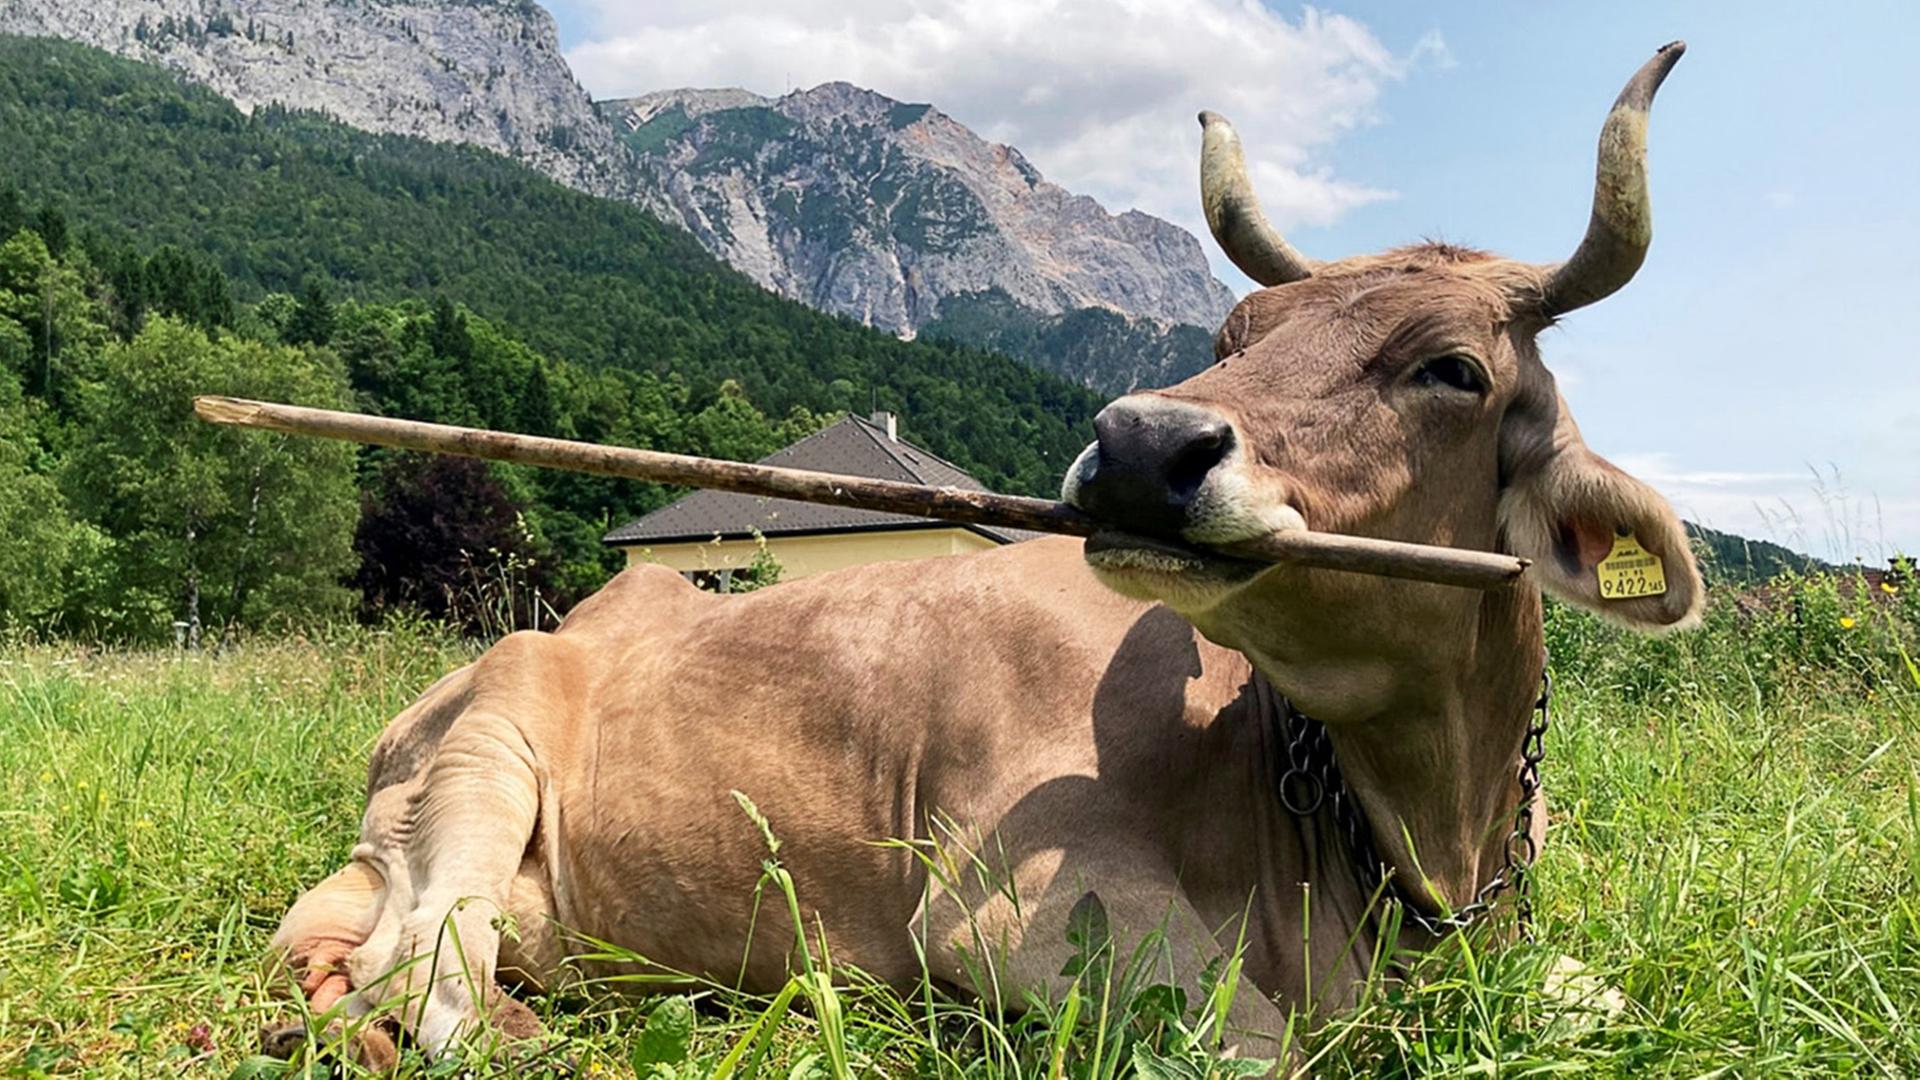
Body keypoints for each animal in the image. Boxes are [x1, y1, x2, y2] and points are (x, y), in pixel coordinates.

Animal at [264, 43, 1699, 1070]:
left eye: (1452, 369)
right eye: (1231, 335)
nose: (1140, 444)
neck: (1417, 839)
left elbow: (1615, 999)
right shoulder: (1022, 912)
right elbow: (1266, 1050)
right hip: (488, 747)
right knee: (427, 977)